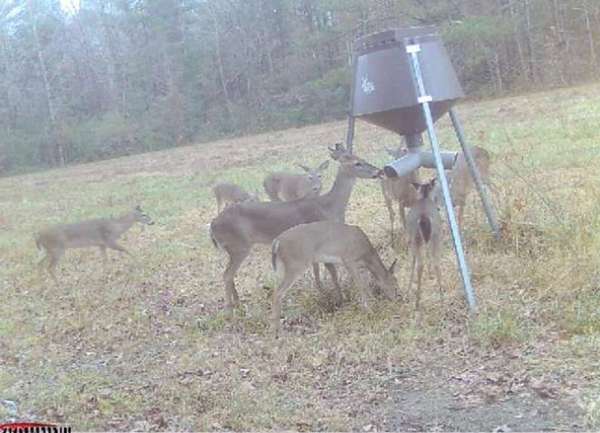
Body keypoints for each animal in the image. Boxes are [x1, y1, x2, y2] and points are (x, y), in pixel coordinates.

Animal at [209, 143, 382, 312]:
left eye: (361, 158)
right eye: (357, 163)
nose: (378, 171)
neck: (329, 206)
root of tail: (212, 225)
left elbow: (316, 268)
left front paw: (321, 290)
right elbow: (330, 270)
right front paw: (339, 298)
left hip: (232, 248)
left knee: (229, 274)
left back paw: (238, 303)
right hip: (239, 246)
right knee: (226, 275)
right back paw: (229, 309)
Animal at [270, 220, 399, 336]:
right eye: (395, 284)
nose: (397, 299)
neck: (366, 255)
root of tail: (277, 242)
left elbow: (358, 283)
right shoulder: (348, 260)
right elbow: (361, 285)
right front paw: (369, 310)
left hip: (282, 268)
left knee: (276, 288)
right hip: (296, 264)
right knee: (278, 293)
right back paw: (280, 331)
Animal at [406, 178, 443, 319]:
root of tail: (424, 218)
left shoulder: (411, 238)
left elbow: (412, 261)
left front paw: (408, 290)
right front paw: (430, 273)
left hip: (416, 237)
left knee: (419, 264)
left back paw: (417, 303)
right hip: (436, 235)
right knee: (437, 261)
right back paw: (442, 295)